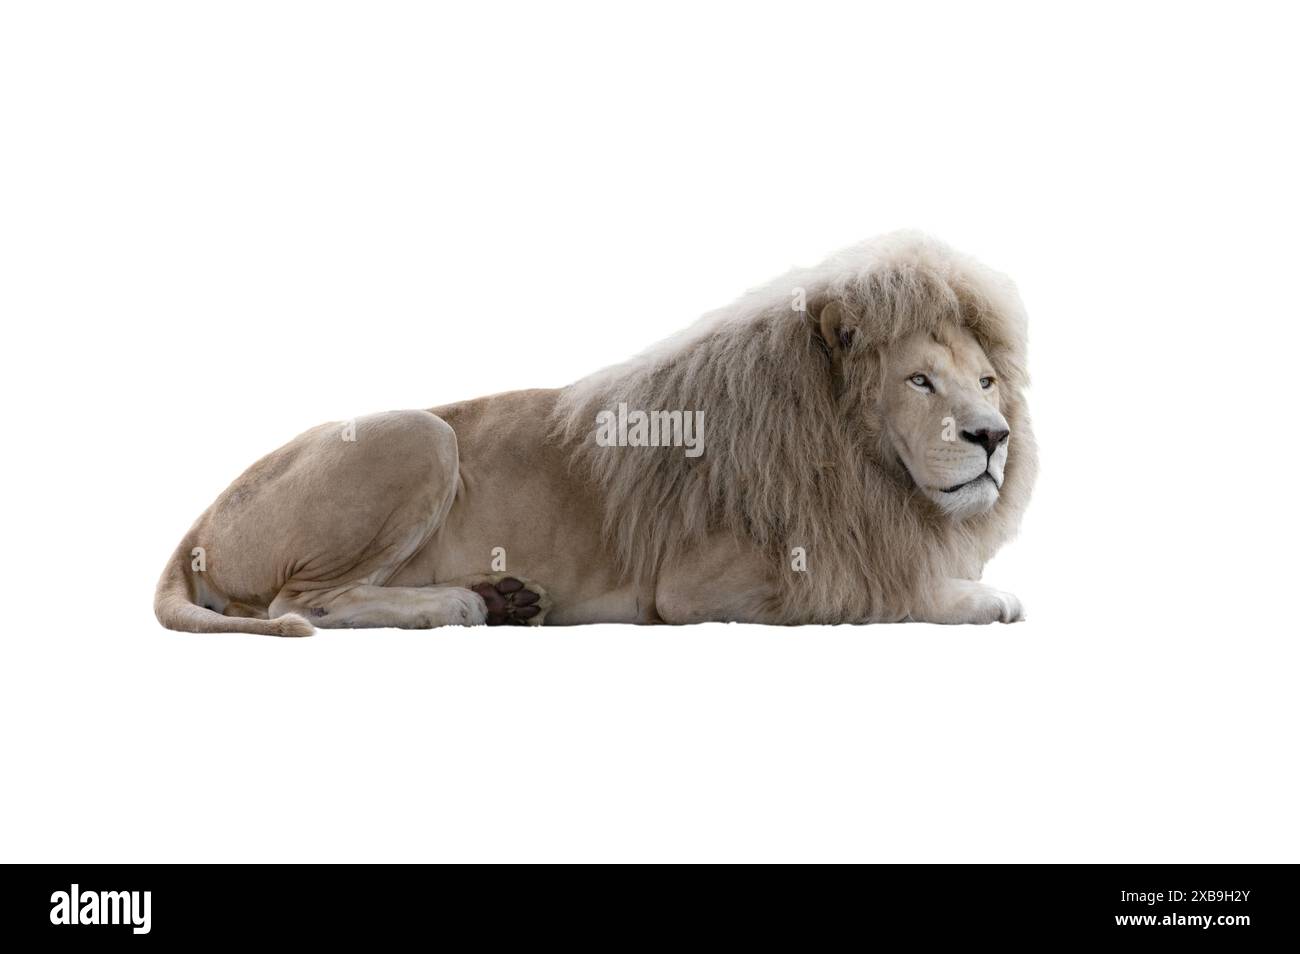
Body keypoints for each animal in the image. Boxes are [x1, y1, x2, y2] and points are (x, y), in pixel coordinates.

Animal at [155, 231, 1036, 635]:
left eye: (987, 382)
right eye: (920, 382)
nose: (994, 438)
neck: (859, 460)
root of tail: (199, 519)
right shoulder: (701, 589)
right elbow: (877, 592)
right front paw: (983, 595)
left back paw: (503, 597)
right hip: (419, 436)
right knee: (297, 603)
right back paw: (457, 604)